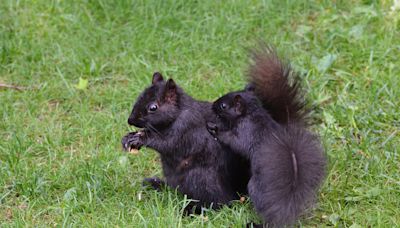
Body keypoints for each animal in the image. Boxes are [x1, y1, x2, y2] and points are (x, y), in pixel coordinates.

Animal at [120, 72, 250, 213]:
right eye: (139, 97)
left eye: (153, 107)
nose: (130, 120)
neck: (178, 113)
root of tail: (236, 193)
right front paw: (129, 137)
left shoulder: (186, 127)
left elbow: (167, 143)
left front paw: (140, 139)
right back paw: (157, 185)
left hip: (201, 179)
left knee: (218, 203)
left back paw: (190, 211)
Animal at [206, 47, 328, 226]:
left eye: (223, 105)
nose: (213, 104)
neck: (251, 113)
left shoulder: (246, 132)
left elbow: (234, 142)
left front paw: (214, 128)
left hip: (255, 187)